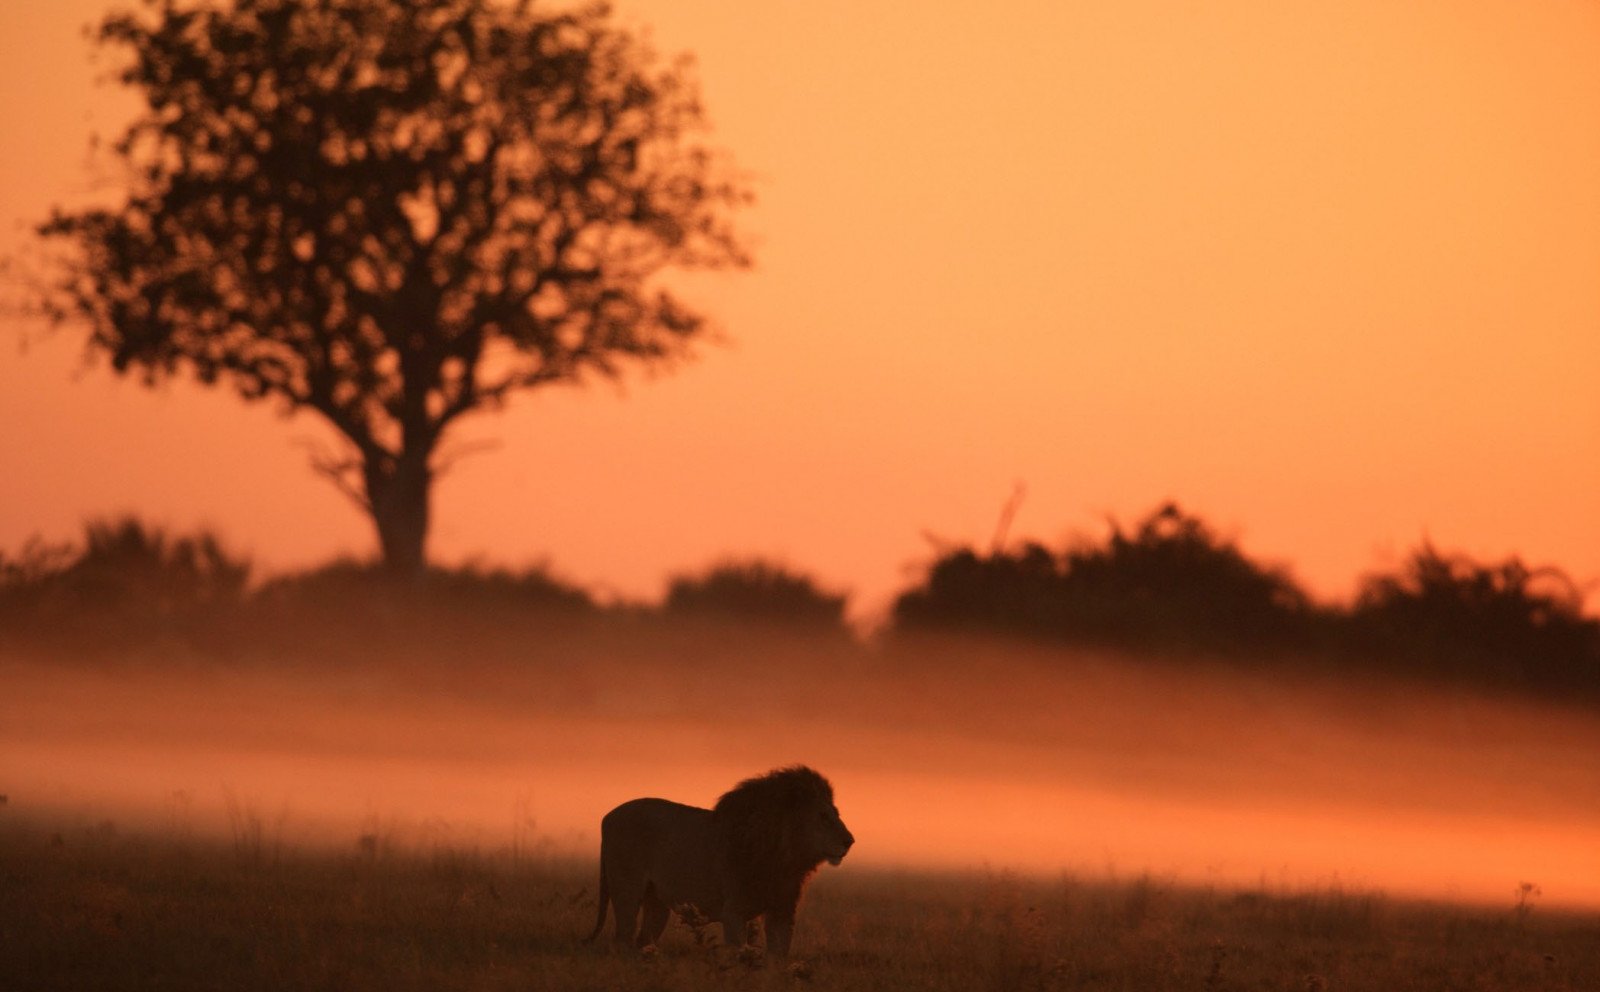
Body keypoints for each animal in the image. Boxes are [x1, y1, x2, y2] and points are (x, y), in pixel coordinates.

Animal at [585, 764, 857, 960]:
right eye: (823, 817)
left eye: (836, 814)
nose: (849, 841)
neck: (786, 859)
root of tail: (607, 817)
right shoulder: (733, 912)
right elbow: (739, 953)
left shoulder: (782, 911)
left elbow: (778, 956)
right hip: (627, 892)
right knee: (621, 939)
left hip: (657, 902)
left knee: (644, 939)